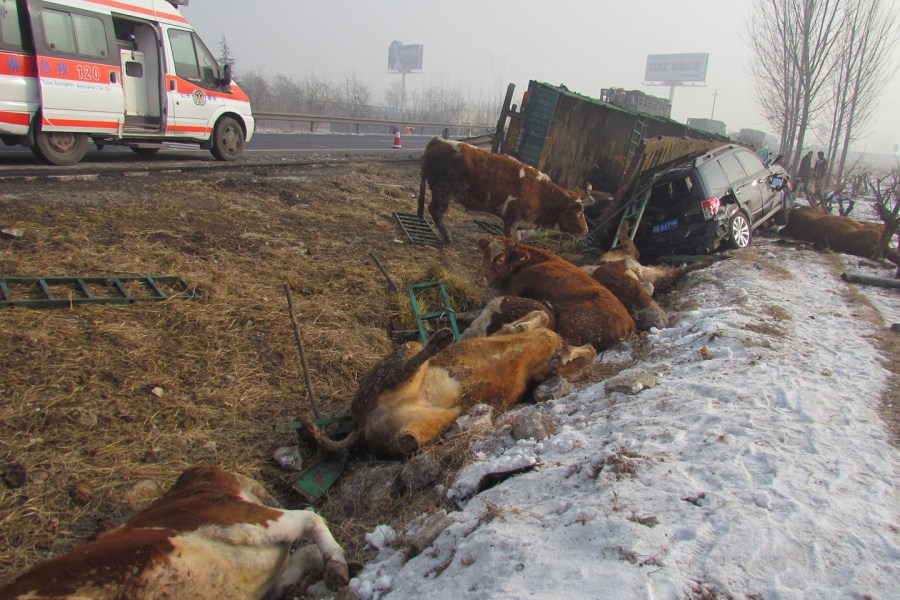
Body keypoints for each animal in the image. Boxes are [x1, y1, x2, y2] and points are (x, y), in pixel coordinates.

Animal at [302, 312, 596, 458]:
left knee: (407, 441)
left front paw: (566, 353)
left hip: (428, 423)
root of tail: (362, 425)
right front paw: (559, 348)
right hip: (402, 358)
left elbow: (583, 353)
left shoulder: (538, 375)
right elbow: (535, 320)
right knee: (409, 363)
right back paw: (440, 339)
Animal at [416, 138, 604, 244]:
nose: (586, 230)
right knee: (436, 211)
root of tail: (438, 141)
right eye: (578, 213)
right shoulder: (512, 219)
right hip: (443, 191)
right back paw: (448, 237)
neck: (541, 194)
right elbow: (510, 241)